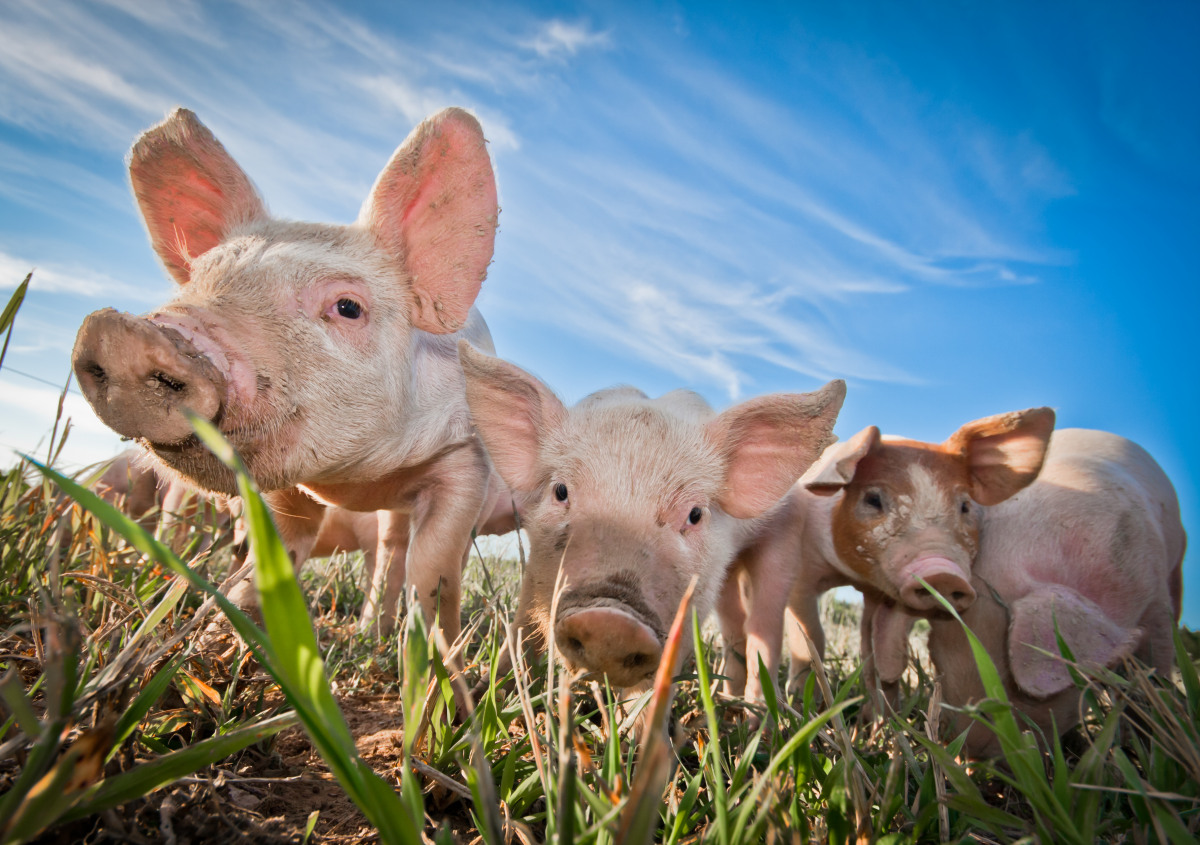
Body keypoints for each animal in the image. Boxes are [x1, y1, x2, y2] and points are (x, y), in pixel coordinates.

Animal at [68, 109, 513, 643]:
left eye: (348, 307)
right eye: (197, 279)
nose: (124, 334)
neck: (355, 482)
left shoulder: (467, 460)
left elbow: (434, 571)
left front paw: (439, 655)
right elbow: (277, 547)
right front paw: (235, 629)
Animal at [456, 340, 844, 696]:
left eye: (695, 514)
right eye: (561, 491)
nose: (610, 620)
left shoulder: (692, 605)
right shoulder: (536, 566)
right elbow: (521, 630)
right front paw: (487, 693)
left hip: (785, 543)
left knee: (766, 628)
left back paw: (756, 714)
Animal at [772, 405, 1185, 753]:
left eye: (965, 506)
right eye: (873, 500)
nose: (940, 572)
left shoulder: (1153, 599)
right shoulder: (802, 574)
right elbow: (811, 637)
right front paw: (805, 705)